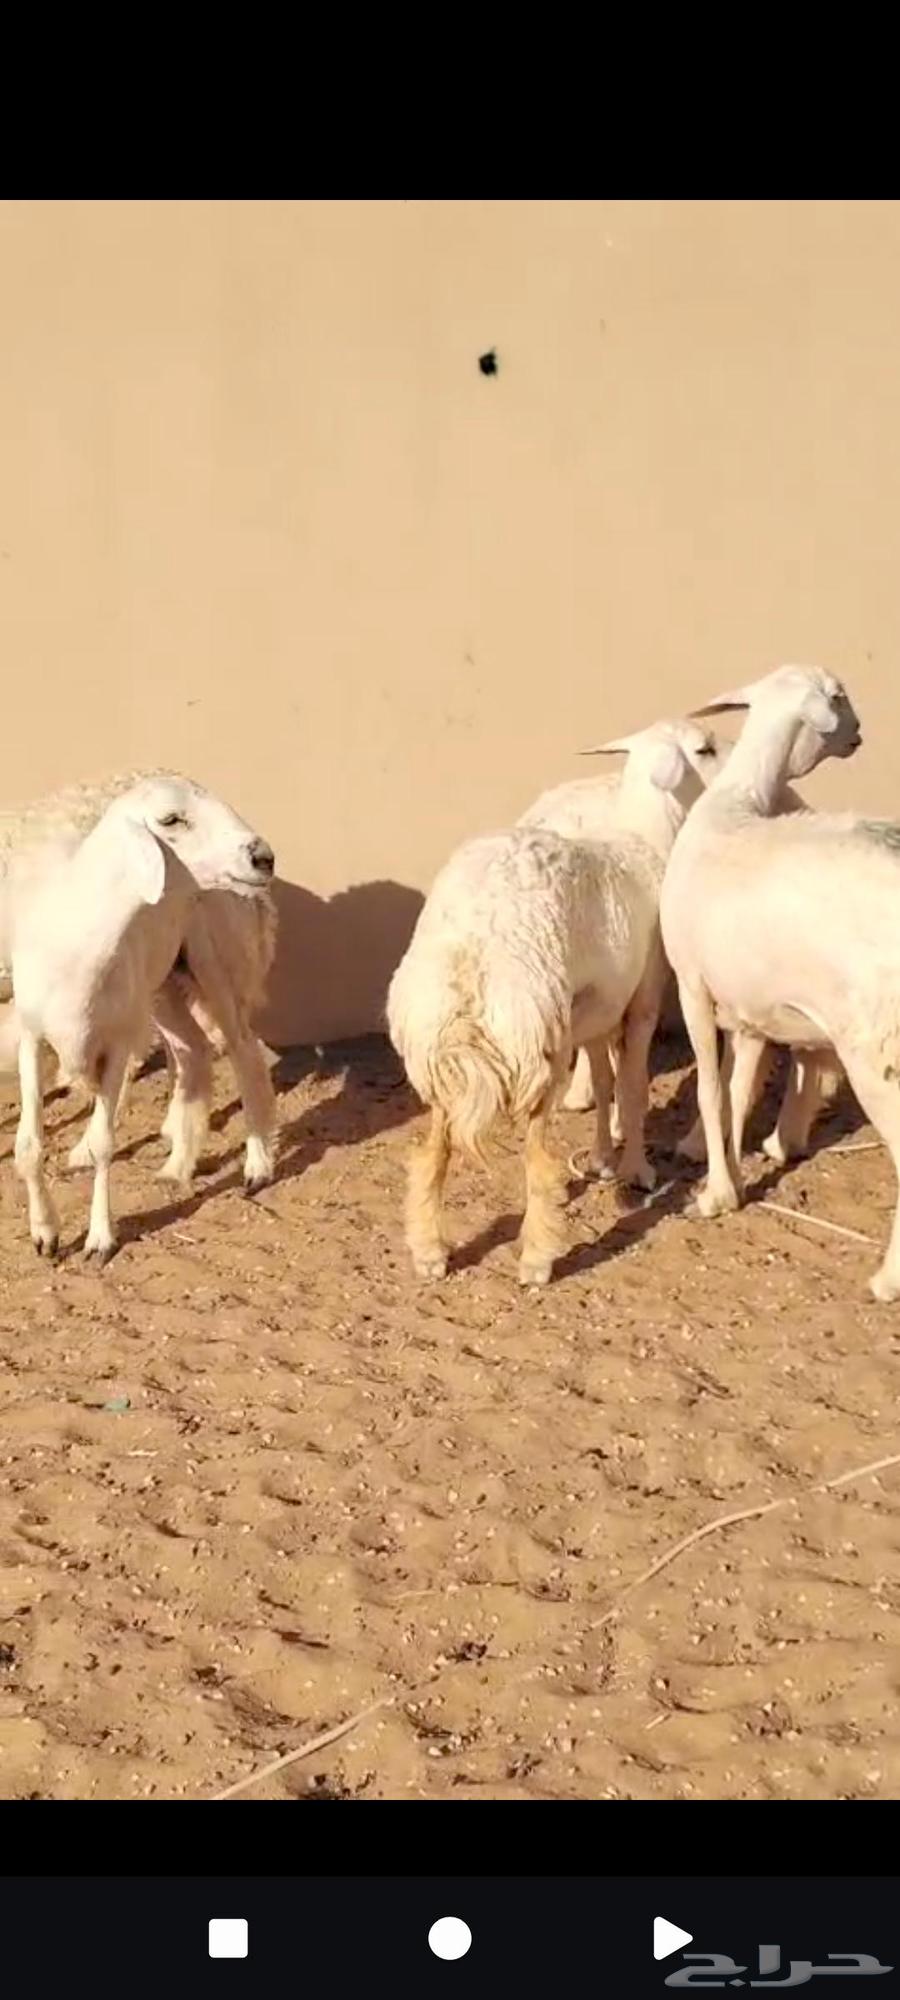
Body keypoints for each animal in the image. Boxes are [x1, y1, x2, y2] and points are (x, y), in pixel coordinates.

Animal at [7, 775, 275, 1263]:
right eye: (171, 819)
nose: (264, 857)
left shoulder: (115, 1045)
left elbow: (103, 1144)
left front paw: (99, 1238)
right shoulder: (33, 1039)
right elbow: (29, 1146)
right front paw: (45, 1234)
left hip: (215, 961)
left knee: (244, 1051)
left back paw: (257, 1166)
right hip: (163, 983)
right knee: (193, 1052)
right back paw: (178, 1166)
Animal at [388, 719, 716, 1286]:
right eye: (706, 750)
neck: (644, 836)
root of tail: (472, 965)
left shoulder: (595, 1012)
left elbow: (604, 1082)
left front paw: (604, 1159)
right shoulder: (643, 998)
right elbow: (631, 1088)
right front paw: (636, 1170)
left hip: (440, 1053)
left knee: (431, 1152)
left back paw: (429, 1252)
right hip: (535, 1042)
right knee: (537, 1161)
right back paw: (538, 1260)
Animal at [656, 666, 900, 1297]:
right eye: (838, 696)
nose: (860, 733)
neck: (737, 801)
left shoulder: (692, 986)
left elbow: (709, 1088)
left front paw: (714, 1195)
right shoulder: (747, 1009)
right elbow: (735, 1091)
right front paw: (731, 1184)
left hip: (875, 1049)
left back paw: (886, 1280)